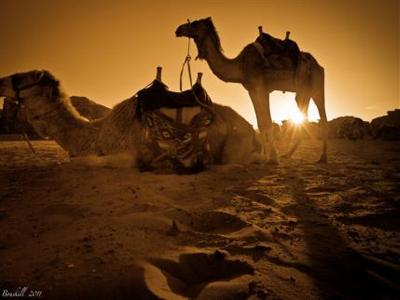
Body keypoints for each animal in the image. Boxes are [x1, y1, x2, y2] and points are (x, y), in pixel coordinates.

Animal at [177, 17, 326, 163]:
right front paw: (265, 156)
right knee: (304, 116)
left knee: (321, 116)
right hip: (304, 91)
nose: (178, 29)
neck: (240, 65)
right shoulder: (251, 90)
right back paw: (288, 154)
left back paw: (322, 158)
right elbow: (261, 122)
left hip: (316, 86)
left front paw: (273, 158)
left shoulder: (261, 87)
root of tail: (318, 65)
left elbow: (267, 122)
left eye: (195, 23)